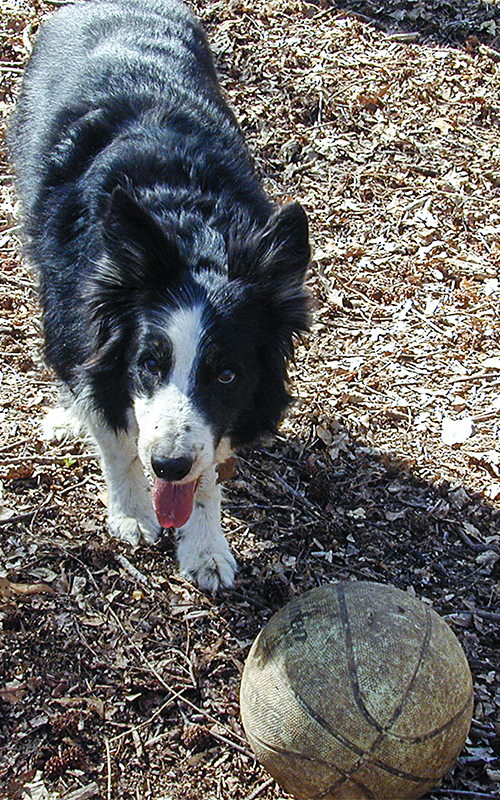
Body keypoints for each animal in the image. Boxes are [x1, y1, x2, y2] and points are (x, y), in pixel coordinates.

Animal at [8, 0, 308, 592]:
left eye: (227, 374)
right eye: (148, 363)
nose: (168, 466)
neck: (190, 232)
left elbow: (208, 463)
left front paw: (205, 548)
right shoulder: (85, 323)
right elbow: (114, 433)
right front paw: (133, 516)